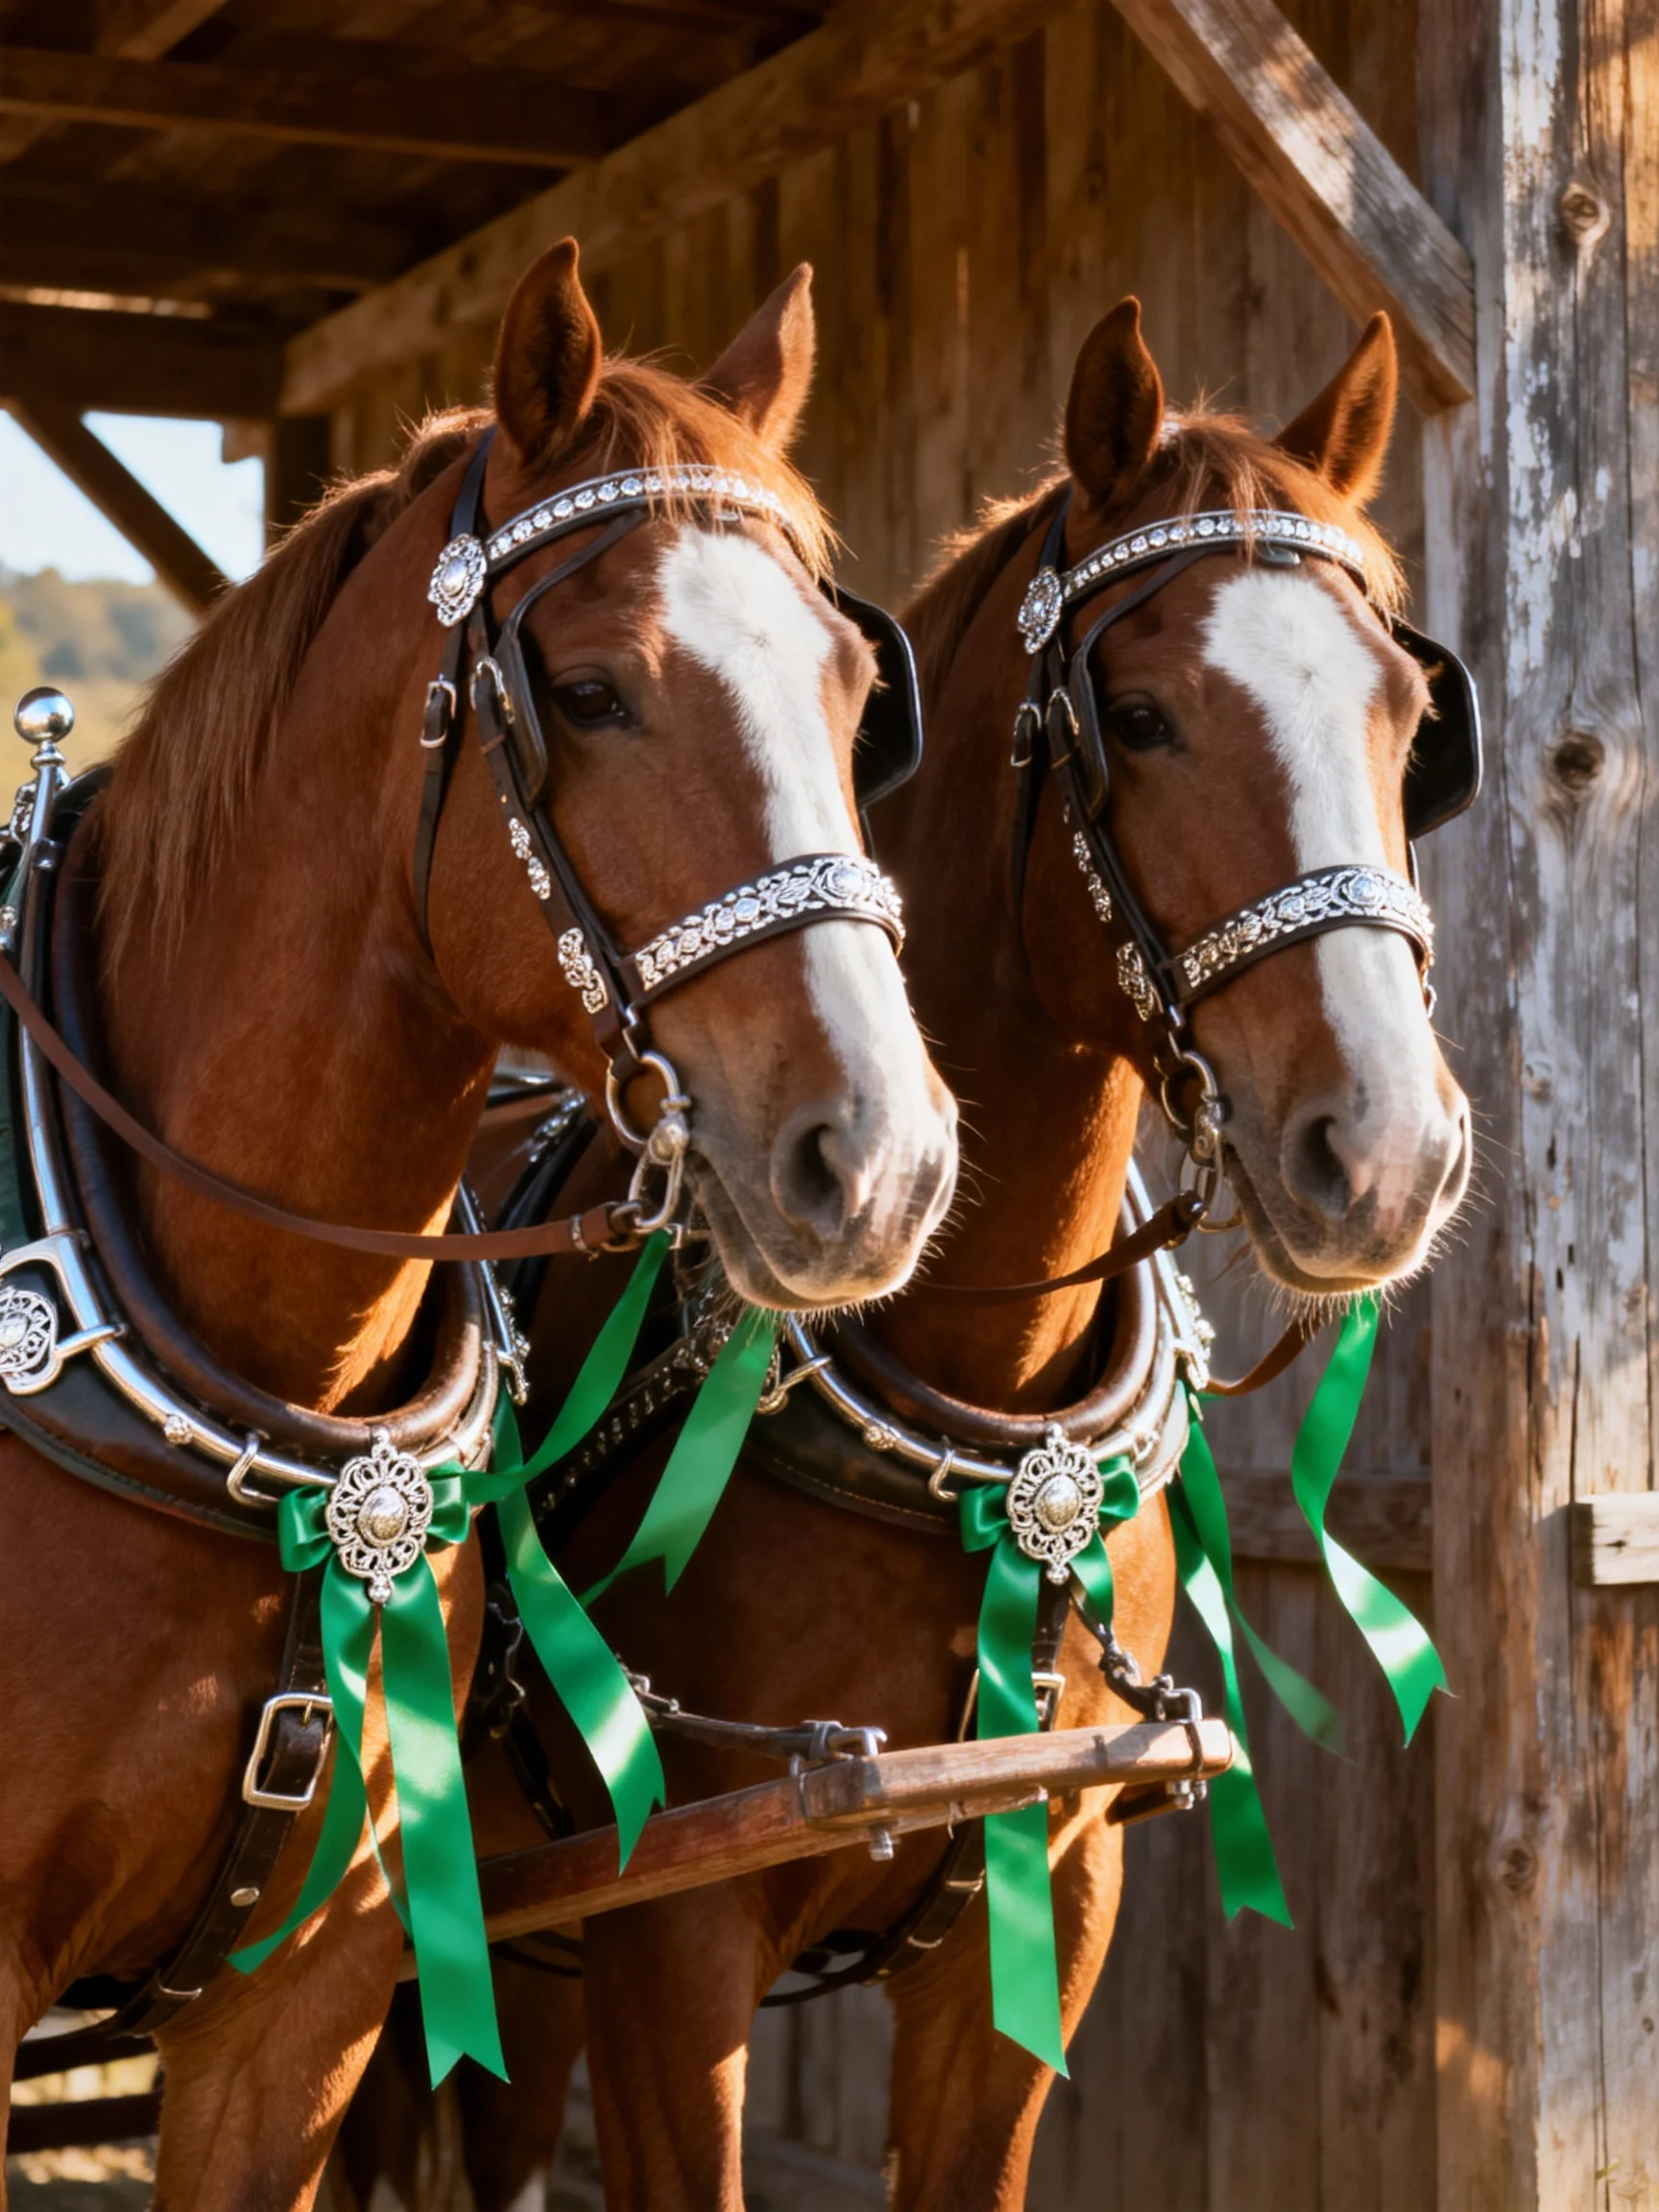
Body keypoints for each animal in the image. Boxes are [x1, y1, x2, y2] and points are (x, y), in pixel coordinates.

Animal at [335, 295, 1473, 2212]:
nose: (1386, 1153)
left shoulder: (1049, 1892)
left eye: (1407, 723)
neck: (969, 1394)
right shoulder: (673, 1933)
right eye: (1138, 716)